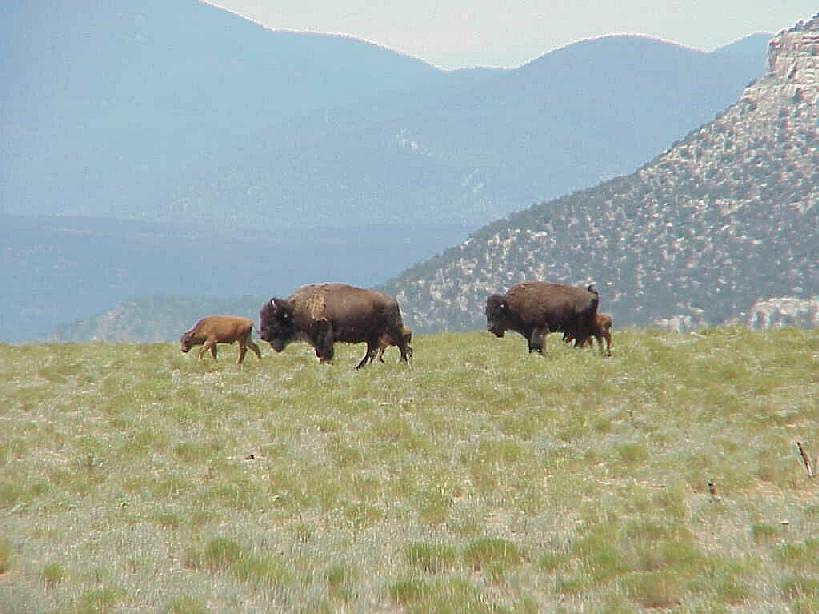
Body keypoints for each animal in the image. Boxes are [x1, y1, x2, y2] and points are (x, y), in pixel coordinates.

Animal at [262, 286, 414, 370]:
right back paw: (359, 367)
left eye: (273, 319)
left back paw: (402, 362)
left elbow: (326, 353)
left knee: (403, 344)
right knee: (372, 351)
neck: (294, 309)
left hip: (392, 330)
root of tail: (393, 302)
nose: (263, 335)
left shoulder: (324, 336)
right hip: (374, 336)